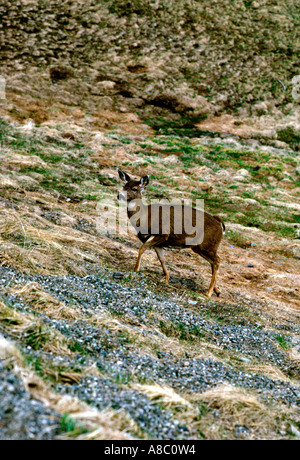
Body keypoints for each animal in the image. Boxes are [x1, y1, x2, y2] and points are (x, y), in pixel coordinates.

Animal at [117, 169, 225, 298]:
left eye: (134, 189)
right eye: (124, 186)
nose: (119, 195)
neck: (144, 218)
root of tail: (219, 223)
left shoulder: (163, 234)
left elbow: (142, 248)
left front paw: (136, 269)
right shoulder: (158, 244)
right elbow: (161, 259)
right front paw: (166, 278)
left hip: (208, 244)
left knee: (217, 261)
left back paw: (208, 293)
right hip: (199, 247)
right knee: (213, 262)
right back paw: (216, 290)